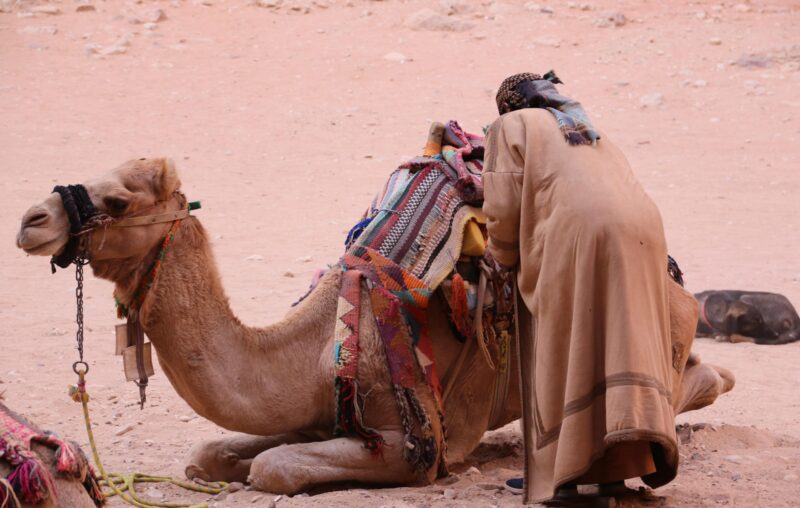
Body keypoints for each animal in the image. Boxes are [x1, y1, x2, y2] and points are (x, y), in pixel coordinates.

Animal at [16, 158, 735, 495]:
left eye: (117, 201)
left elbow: (274, 467)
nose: (29, 219)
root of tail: (673, 277)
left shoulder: (413, 440)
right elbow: (213, 452)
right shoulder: (319, 411)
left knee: (694, 382)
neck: (309, 349)